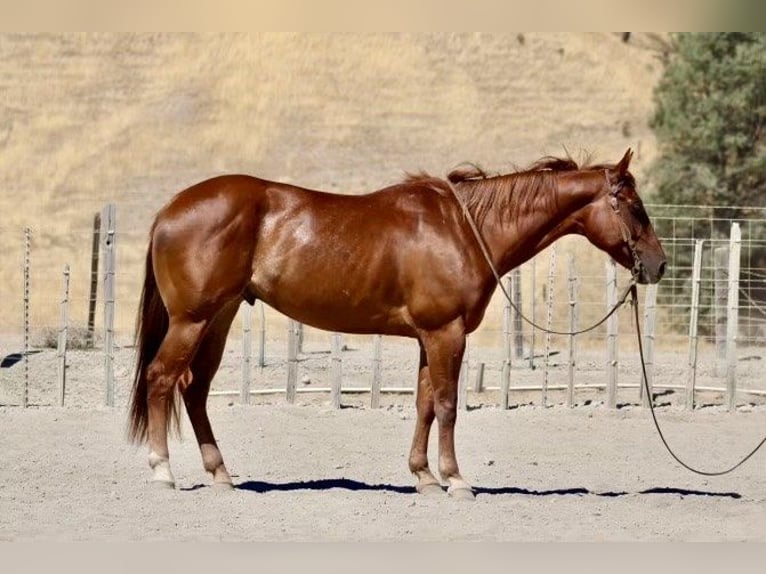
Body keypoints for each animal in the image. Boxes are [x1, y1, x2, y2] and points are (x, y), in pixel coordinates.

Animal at [128, 148, 666, 500]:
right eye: (635, 207)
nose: (658, 266)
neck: (465, 228)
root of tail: (170, 210)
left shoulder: (431, 337)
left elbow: (425, 405)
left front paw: (424, 477)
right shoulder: (447, 333)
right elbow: (447, 406)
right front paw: (456, 481)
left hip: (218, 318)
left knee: (194, 390)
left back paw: (220, 474)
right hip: (192, 320)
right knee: (161, 379)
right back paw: (162, 472)